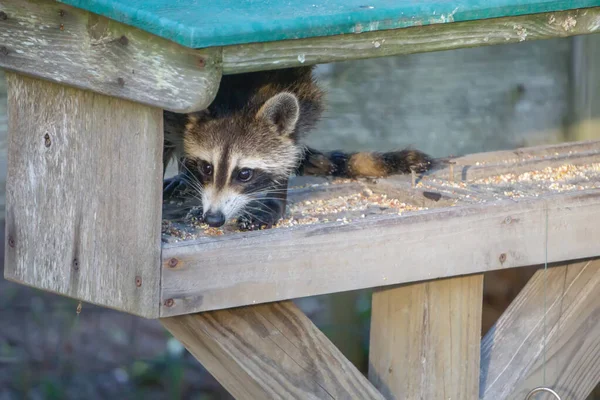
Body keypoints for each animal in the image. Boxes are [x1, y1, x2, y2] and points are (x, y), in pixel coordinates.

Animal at [164, 67, 436, 230]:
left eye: (245, 174)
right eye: (206, 168)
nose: (213, 217)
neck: (236, 102)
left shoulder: (295, 81)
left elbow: (291, 139)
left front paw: (276, 196)